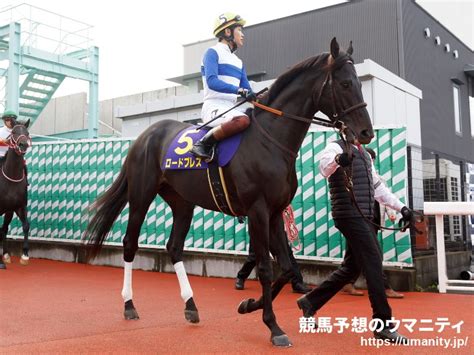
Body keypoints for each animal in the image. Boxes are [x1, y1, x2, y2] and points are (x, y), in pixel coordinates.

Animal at [84, 39, 374, 348]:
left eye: (359, 82)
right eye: (345, 83)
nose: (366, 132)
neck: (271, 141)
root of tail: (144, 136)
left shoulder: (275, 212)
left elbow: (285, 268)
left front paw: (249, 305)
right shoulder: (258, 210)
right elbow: (266, 268)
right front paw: (273, 326)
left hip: (182, 203)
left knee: (174, 247)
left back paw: (191, 306)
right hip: (141, 195)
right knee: (130, 243)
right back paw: (129, 305)